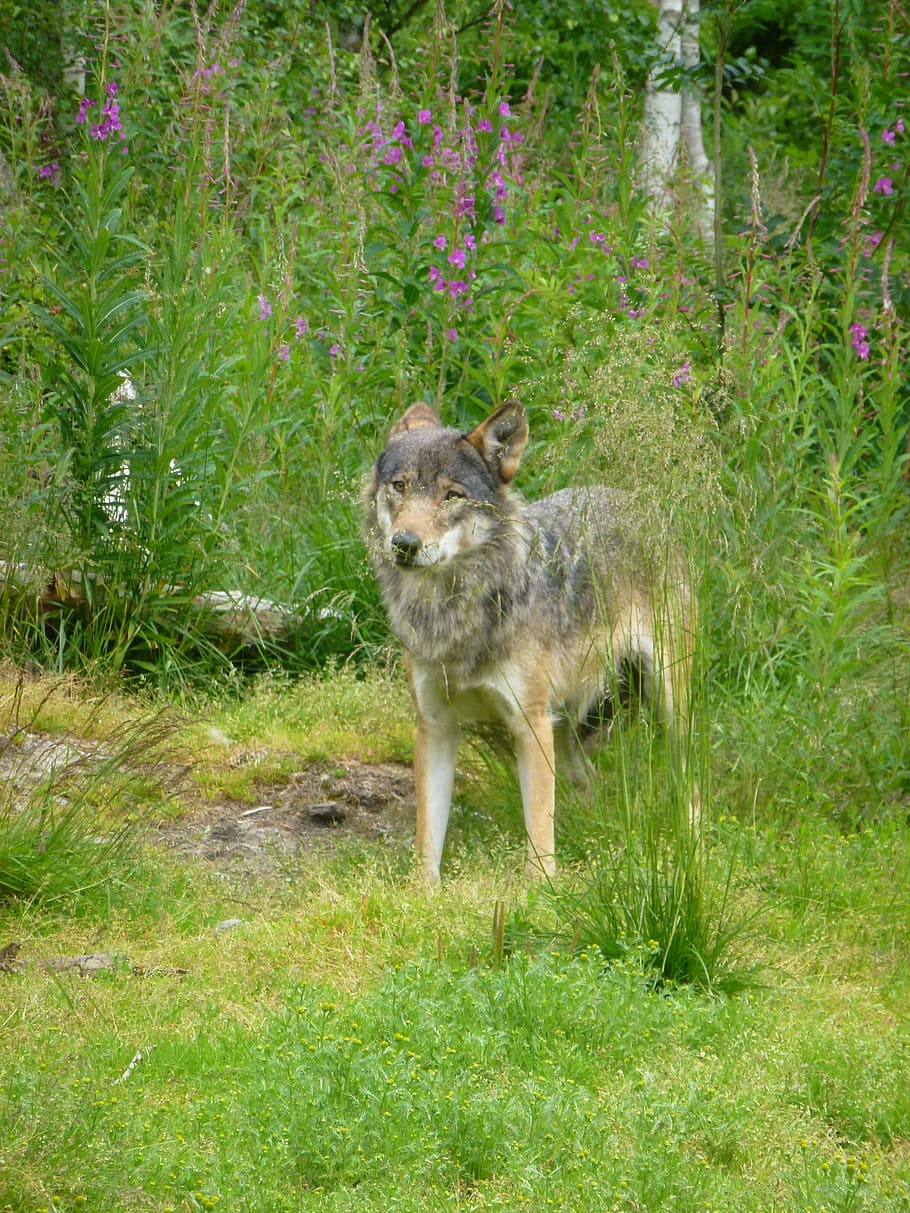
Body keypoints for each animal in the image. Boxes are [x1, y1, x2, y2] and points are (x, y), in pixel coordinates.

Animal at [366, 402, 698, 878]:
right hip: (565, 724)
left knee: (688, 782)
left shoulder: (529, 725)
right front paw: (423, 890)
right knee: (586, 778)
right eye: (400, 486)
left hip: (667, 705)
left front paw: (541, 888)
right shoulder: (435, 727)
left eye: (452, 496)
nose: (405, 543)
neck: (456, 613)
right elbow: (427, 840)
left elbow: (539, 831)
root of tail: (632, 501)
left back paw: (692, 844)